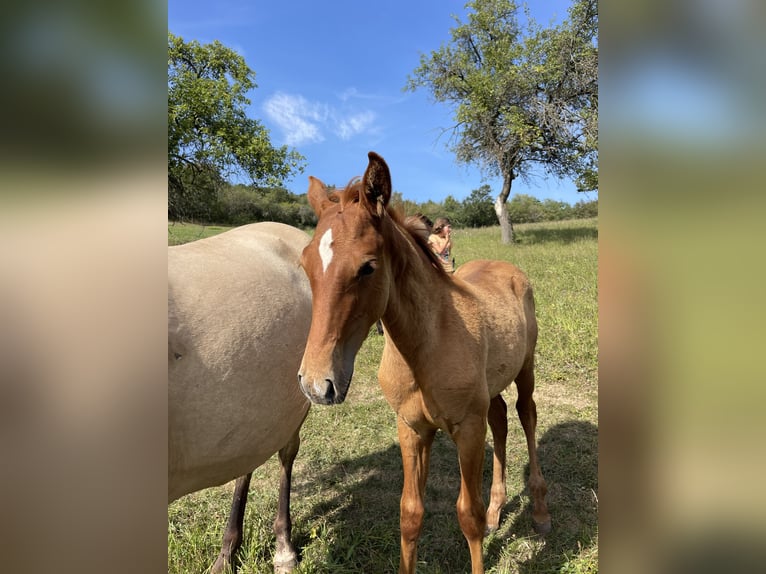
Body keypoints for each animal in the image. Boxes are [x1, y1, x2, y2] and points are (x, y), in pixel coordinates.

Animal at [300, 154, 552, 574]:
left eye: (368, 267)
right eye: (304, 263)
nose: (317, 384)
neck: (424, 346)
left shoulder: (468, 429)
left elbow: (468, 514)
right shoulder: (411, 427)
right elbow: (410, 513)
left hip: (525, 369)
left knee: (526, 415)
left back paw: (541, 511)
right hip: (491, 387)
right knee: (500, 419)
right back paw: (497, 512)